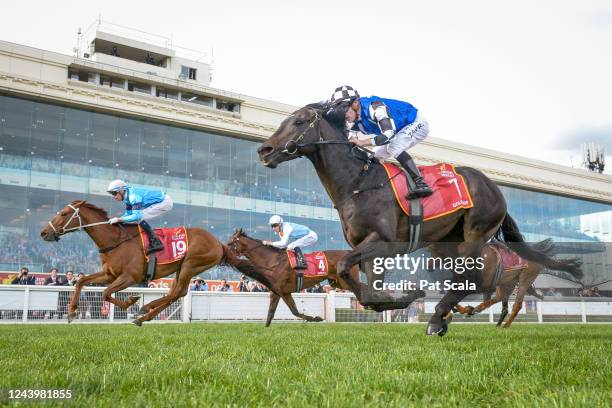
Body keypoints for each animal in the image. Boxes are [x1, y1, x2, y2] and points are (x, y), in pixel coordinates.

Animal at [40, 200, 256, 326]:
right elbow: (81, 281)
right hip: (182, 267)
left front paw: (131, 301)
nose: (44, 232)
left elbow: (106, 293)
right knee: (175, 292)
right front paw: (71, 312)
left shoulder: (130, 276)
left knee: (177, 292)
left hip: (191, 263)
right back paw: (146, 314)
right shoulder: (109, 274)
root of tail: (218, 243)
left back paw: (144, 311)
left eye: (64, 214)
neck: (115, 240)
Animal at [228, 228, 360, 326]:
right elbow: (271, 312)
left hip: (345, 281)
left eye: (231, 243)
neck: (272, 261)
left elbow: (294, 311)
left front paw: (316, 318)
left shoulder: (283, 291)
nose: (225, 252)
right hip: (336, 282)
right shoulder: (276, 291)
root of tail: (348, 252)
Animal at [256, 103, 580, 336]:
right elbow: (364, 285)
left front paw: (403, 297)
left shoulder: (384, 242)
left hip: (475, 235)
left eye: (299, 122)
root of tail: (494, 186)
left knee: (471, 278)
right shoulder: (369, 249)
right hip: (446, 243)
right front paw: (389, 300)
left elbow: (348, 267)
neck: (358, 182)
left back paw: (437, 318)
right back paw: (444, 316)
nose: (264, 150)